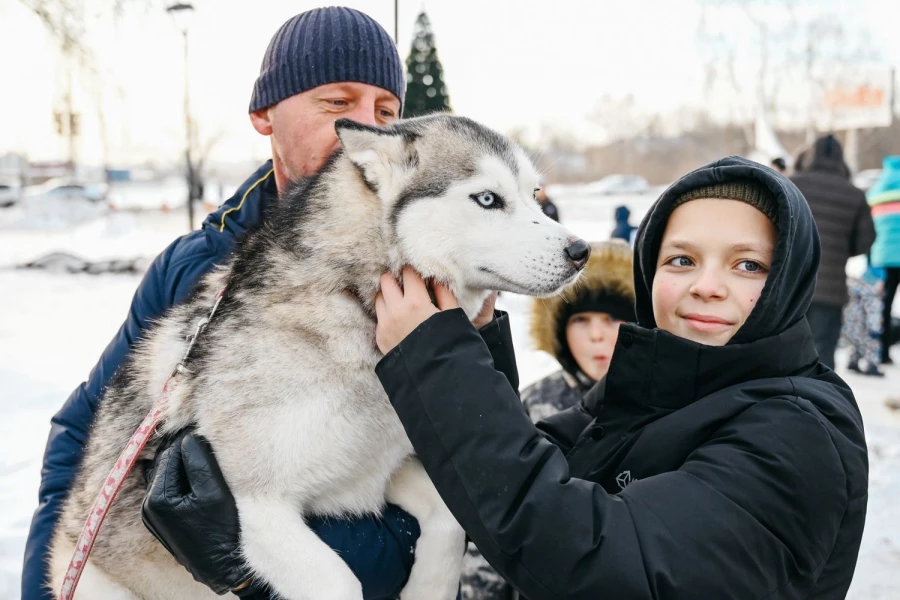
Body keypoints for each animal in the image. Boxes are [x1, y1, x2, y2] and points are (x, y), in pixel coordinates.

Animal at [47, 115, 592, 596]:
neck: (354, 304)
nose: (581, 250)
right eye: (487, 199)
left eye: (534, 194)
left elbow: (449, 521)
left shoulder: (379, 472)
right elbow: (338, 579)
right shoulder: (254, 504)